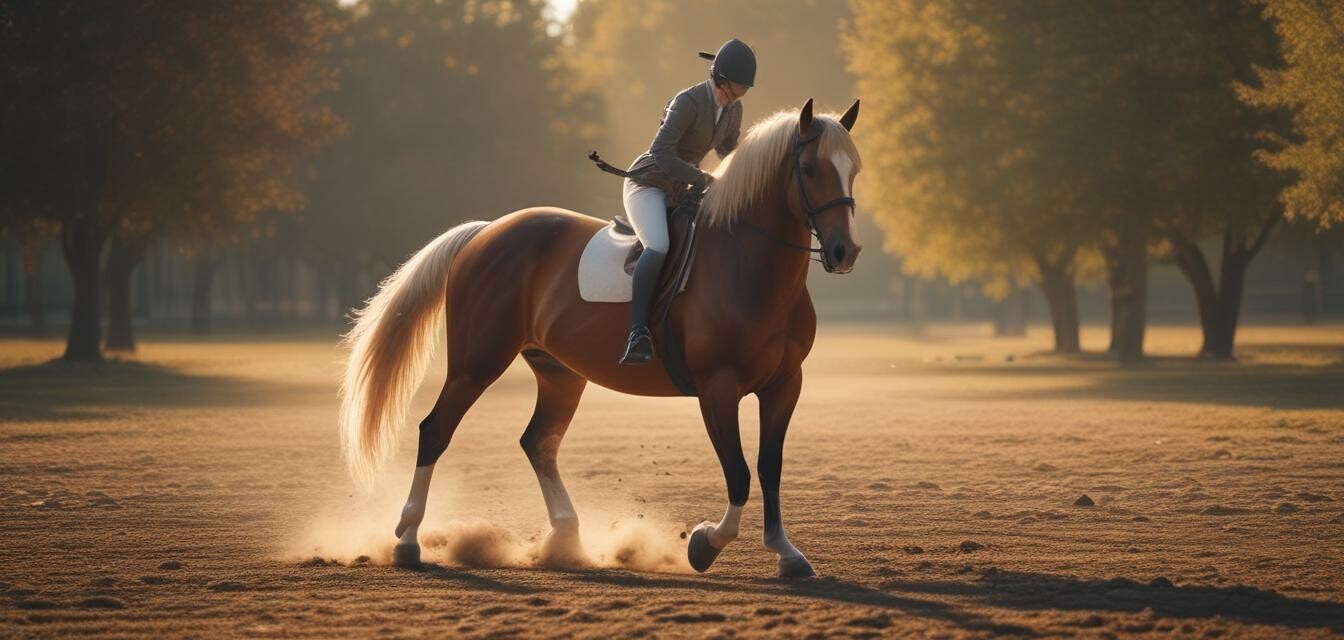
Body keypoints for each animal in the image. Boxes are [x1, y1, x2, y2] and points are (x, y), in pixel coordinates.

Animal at [336, 97, 860, 578]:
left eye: (853, 169)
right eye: (810, 168)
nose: (844, 251)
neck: (749, 266)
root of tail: (487, 232)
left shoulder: (784, 385)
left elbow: (770, 468)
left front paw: (787, 554)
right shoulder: (718, 387)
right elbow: (739, 472)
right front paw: (704, 544)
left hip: (558, 372)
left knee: (539, 442)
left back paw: (567, 538)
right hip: (476, 363)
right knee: (435, 430)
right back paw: (407, 540)